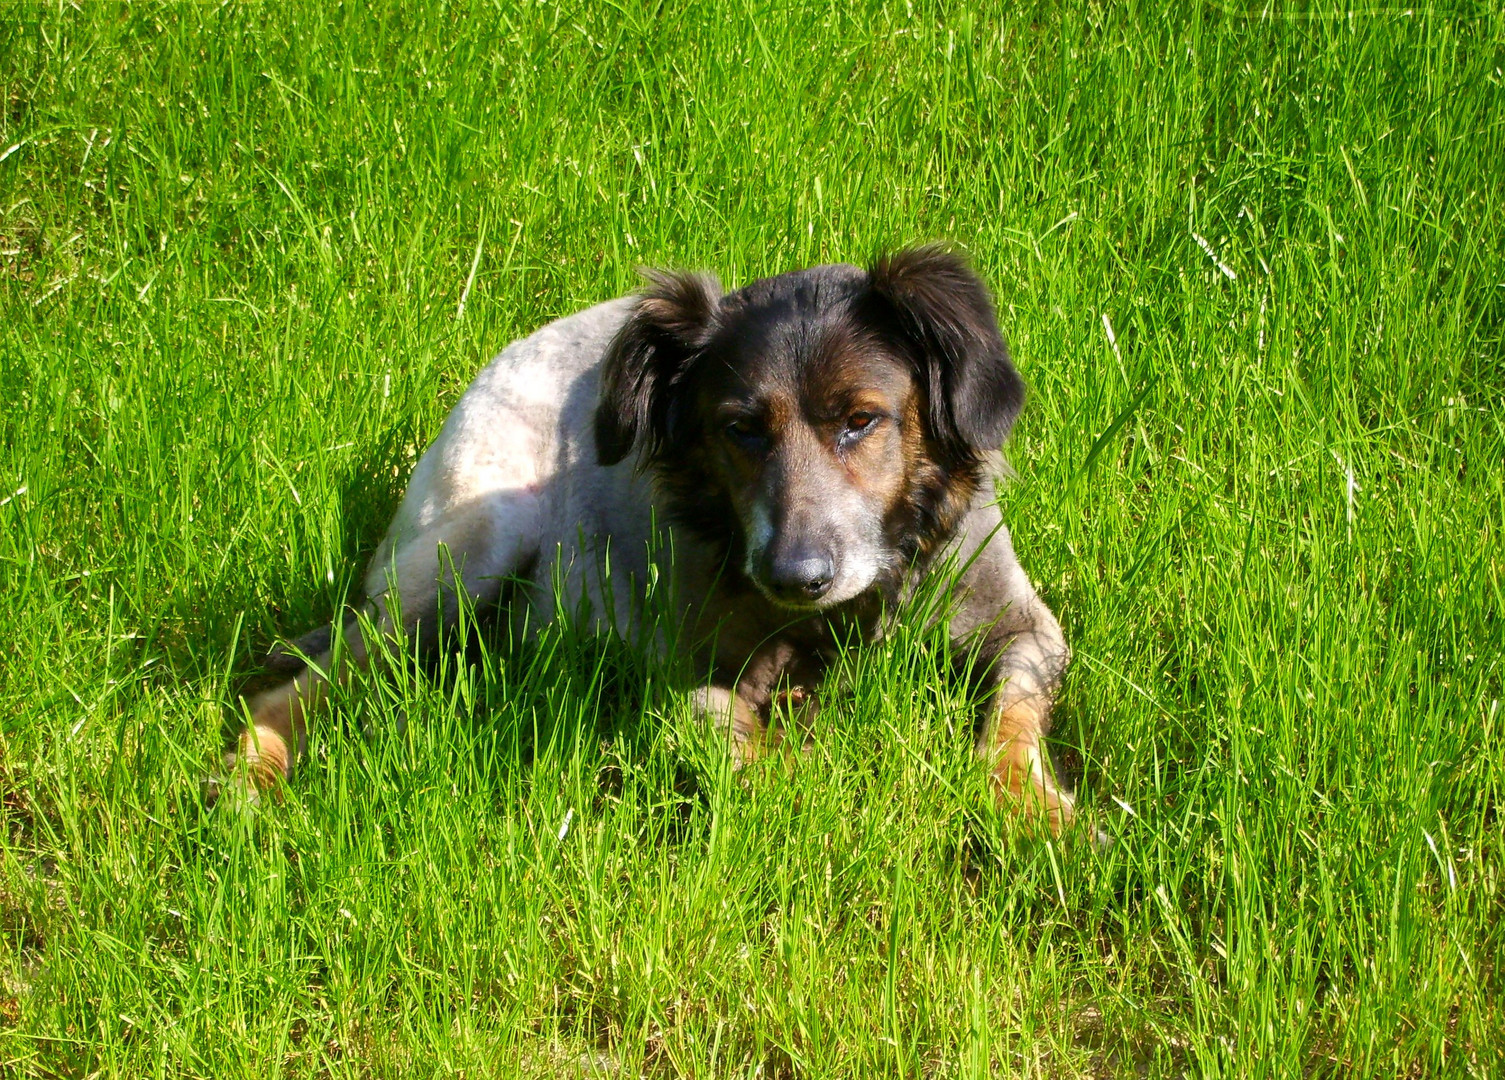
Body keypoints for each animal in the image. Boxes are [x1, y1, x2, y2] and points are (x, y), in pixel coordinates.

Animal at [225, 248, 1083, 830]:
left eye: (860, 419)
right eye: (739, 429)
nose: (792, 575)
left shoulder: (1024, 624)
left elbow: (1011, 720)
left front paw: (1033, 812)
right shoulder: (684, 675)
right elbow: (744, 743)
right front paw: (811, 794)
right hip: (469, 546)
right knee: (313, 678)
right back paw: (251, 773)